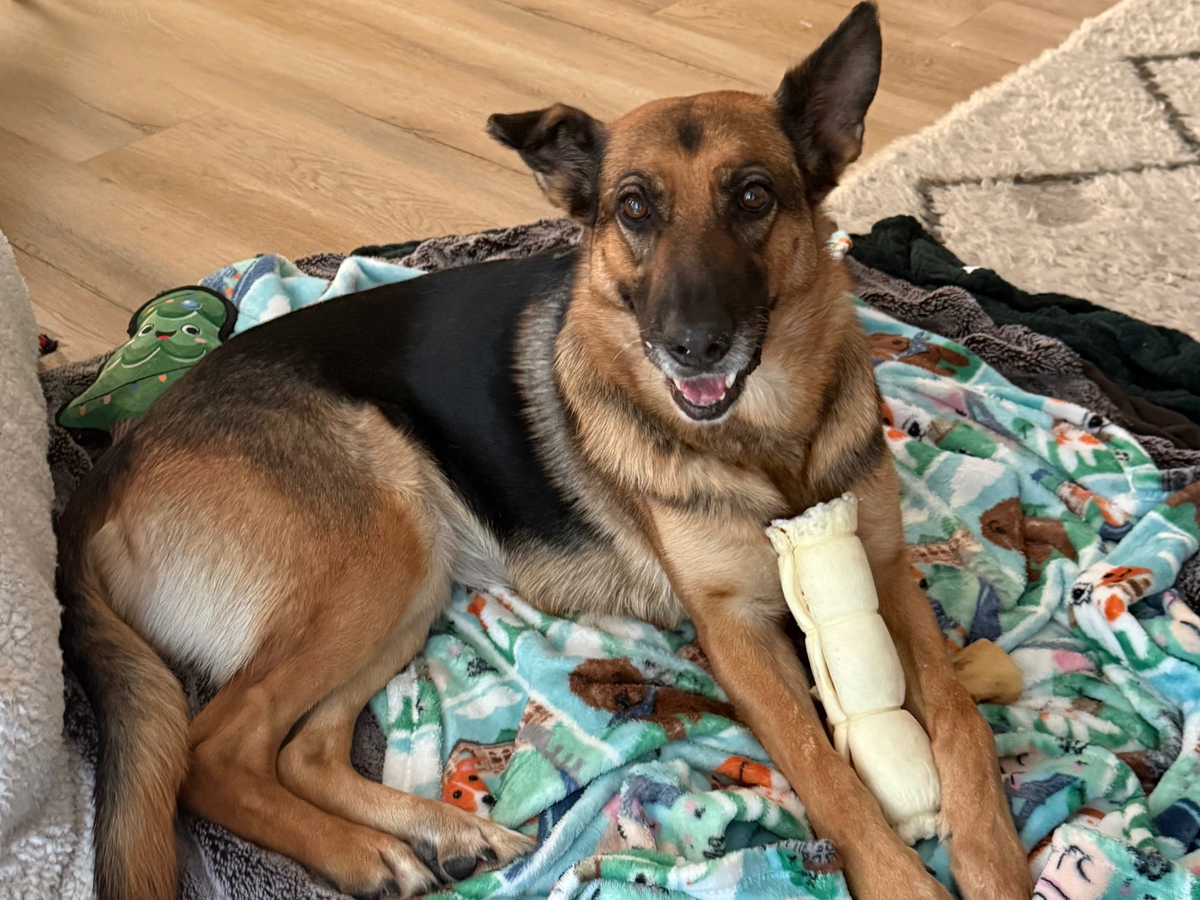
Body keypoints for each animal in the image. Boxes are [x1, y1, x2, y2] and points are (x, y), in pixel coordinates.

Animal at [56, 5, 1030, 899]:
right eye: (633, 208)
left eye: (754, 196)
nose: (692, 347)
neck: (769, 442)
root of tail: (112, 465)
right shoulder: (736, 632)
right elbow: (827, 772)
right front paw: (903, 878)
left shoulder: (887, 569)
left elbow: (958, 718)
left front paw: (991, 858)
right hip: (379, 544)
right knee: (216, 749)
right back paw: (363, 854)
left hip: (408, 579)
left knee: (300, 751)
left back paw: (439, 837)